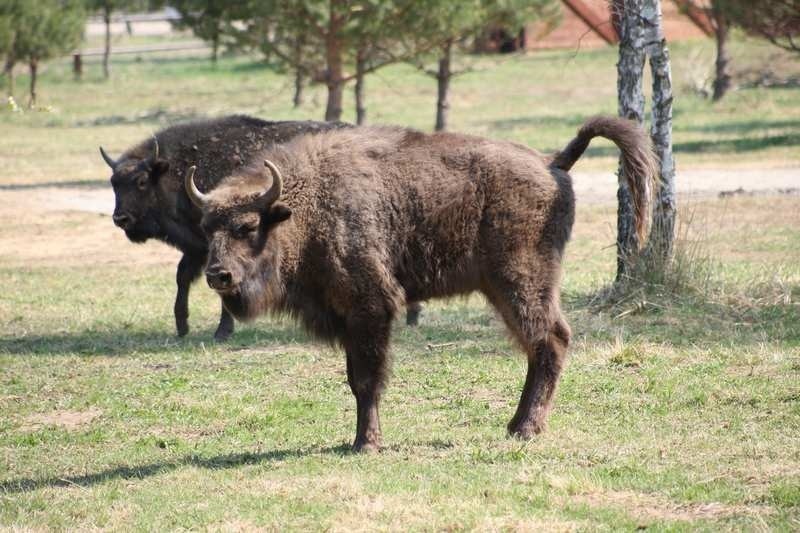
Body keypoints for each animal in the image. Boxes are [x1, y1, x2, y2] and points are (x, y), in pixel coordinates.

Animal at [100, 117, 350, 340]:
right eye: (113, 183)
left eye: (141, 181)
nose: (120, 218)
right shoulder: (198, 248)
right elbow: (182, 276)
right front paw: (182, 327)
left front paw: (222, 331)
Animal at [188, 116, 656, 448]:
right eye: (207, 228)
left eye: (248, 226)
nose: (217, 275)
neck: (304, 207)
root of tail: (552, 162)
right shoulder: (347, 316)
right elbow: (354, 378)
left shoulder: (371, 308)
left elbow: (366, 379)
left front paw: (366, 443)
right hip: (500, 288)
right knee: (536, 345)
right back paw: (515, 425)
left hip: (522, 280)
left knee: (551, 339)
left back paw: (526, 429)